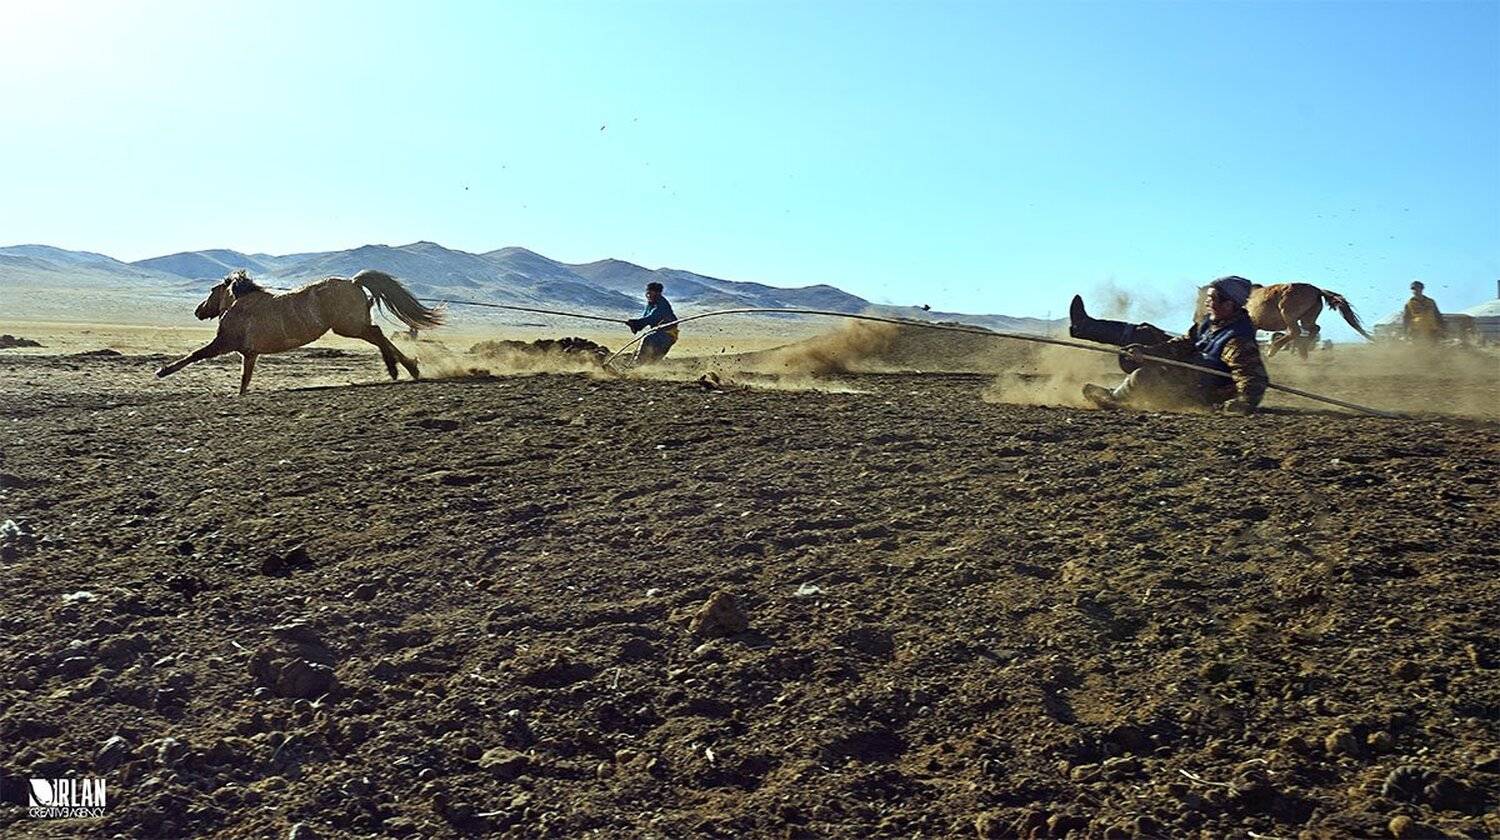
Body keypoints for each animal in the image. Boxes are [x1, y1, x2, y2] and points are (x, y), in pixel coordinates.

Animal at [156, 269, 444, 393]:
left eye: (211, 290)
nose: (198, 311)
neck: (242, 304)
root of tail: (353, 281)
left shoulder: (223, 343)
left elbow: (194, 355)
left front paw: (161, 371)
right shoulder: (250, 354)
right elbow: (245, 380)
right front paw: (240, 395)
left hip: (349, 326)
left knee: (377, 334)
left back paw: (402, 368)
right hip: (352, 326)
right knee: (379, 335)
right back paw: (407, 369)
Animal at [1196, 282, 1371, 358]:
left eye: (1202, 300)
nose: (1196, 318)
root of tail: (1317, 290)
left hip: (1288, 314)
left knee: (1295, 331)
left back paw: (1274, 350)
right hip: (1307, 318)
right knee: (1313, 329)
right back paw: (1302, 351)